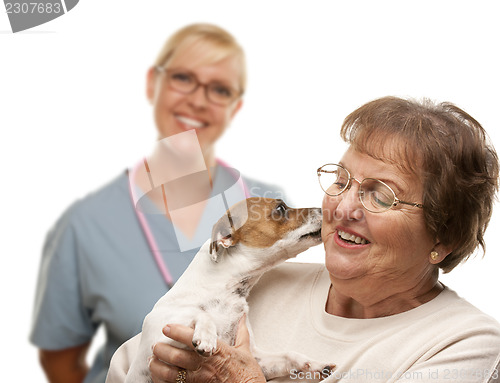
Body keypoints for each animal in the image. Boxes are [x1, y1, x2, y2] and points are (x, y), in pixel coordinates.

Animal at [124, 200, 336, 382]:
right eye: (280, 208)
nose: (323, 209)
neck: (226, 292)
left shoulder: (255, 358)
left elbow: (288, 355)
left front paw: (314, 364)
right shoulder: (160, 342)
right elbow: (200, 313)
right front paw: (206, 336)